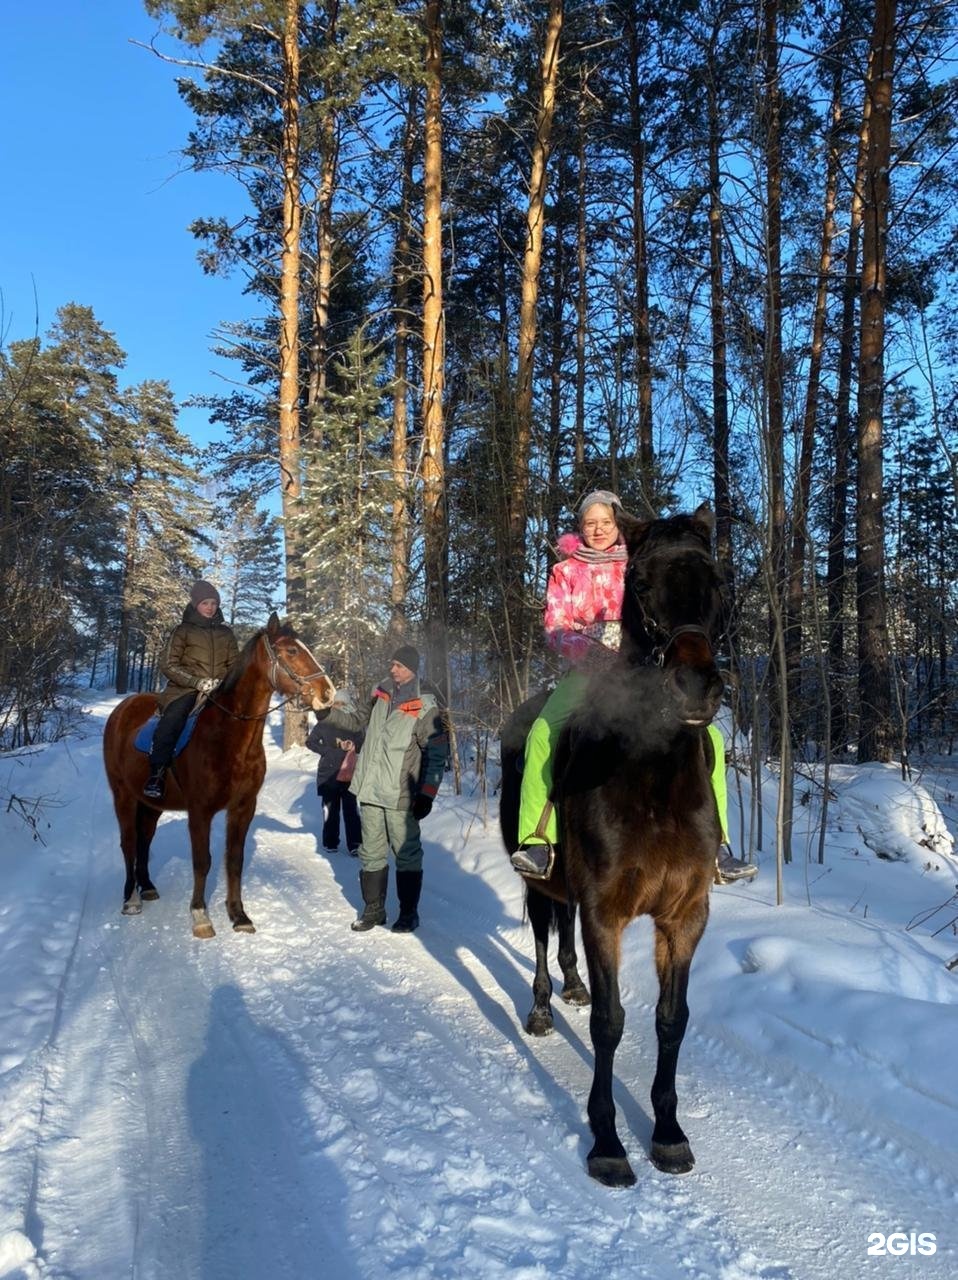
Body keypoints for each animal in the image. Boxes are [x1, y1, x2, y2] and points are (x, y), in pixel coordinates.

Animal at [103, 614, 335, 936]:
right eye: (291, 651)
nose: (328, 693)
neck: (229, 736)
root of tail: (122, 710)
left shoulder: (242, 808)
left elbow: (234, 861)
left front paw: (239, 915)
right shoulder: (200, 810)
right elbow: (202, 861)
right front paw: (200, 915)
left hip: (151, 803)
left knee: (145, 839)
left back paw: (147, 886)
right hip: (123, 795)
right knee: (128, 842)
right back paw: (131, 899)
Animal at [502, 504, 727, 1182]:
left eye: (715, 581)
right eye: (643, 584)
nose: (694, 688)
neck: (652, 781)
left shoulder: (684, 915)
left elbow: (670, 1020)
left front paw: (668, 1132)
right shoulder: (607, 911)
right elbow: (610, 1022)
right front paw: (606, 1142)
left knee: (562, 931)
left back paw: (571, 985)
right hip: (538, 878)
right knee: (545, 930)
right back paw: (543, 1008)